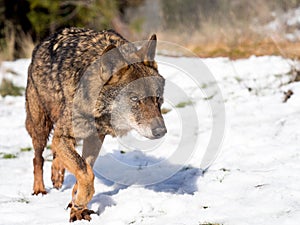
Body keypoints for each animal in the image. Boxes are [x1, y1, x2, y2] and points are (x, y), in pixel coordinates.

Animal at [24, 27, 166, 221]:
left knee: (56, 154)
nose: (161, 131)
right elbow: (85, 172)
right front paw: (80, 201)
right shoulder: (64, 135)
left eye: (158, 98)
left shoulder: (95, 137)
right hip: (40, 127)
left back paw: (58, 173)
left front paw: (77, 206)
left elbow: (85, 168)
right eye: (134, 99)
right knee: (37, 158)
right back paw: (39, 189)